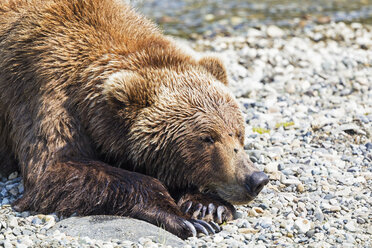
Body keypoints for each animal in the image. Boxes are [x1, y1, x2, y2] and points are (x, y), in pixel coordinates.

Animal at [0, 0, 268, 239]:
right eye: (207, 138)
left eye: (238, 133)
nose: (256, 178)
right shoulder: (43, 90)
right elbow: (56, 169)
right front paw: (187, 220)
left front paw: (209, 205)